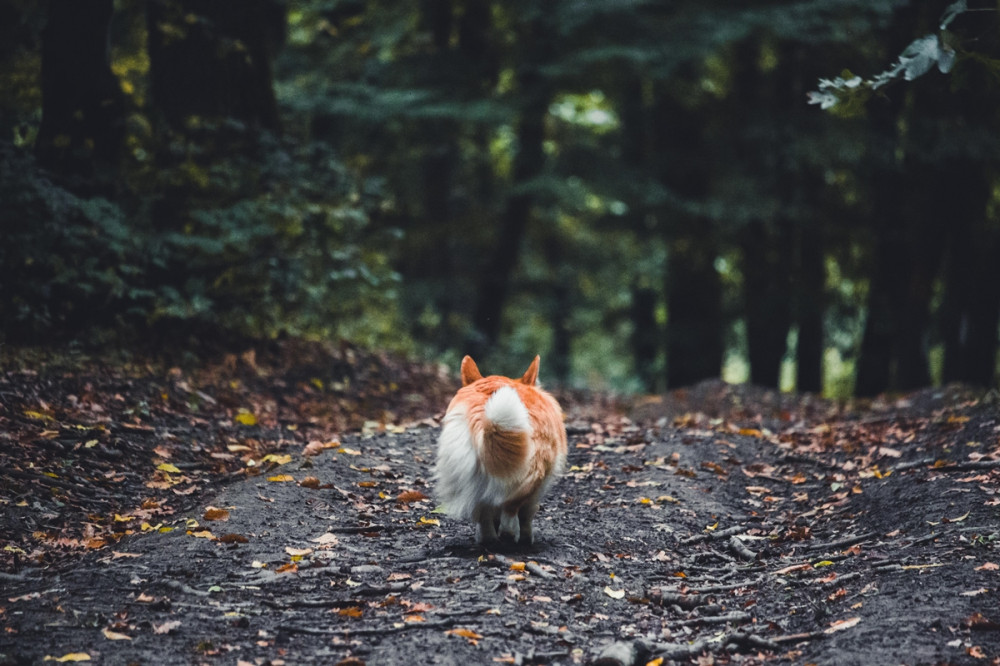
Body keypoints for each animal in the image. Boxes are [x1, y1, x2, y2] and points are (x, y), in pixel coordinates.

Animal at [434, 356, 568, 544]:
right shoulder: (537, 488)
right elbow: (526, 514)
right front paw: (526, 536)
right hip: (531, 471)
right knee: (511, 508)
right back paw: (510, 535)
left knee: (483, 513)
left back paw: (487, 540)